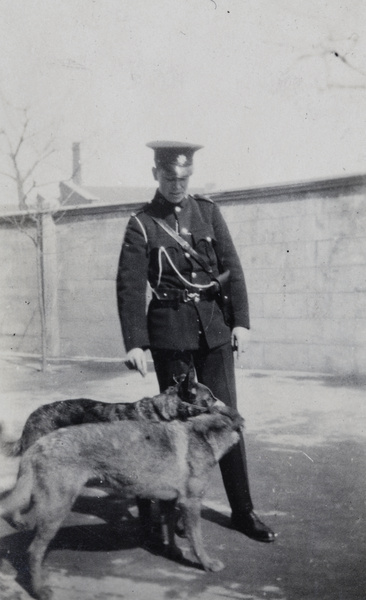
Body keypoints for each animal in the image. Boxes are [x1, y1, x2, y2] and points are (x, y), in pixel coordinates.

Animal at [0, 408, 246, 600]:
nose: (242, 423)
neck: (203, 434)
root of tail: (38, 445)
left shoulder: (169, 502)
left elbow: (169, 529)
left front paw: (173, 550)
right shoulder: (191, 503)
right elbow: (198, 541)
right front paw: (206, 563)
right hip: (56, 509)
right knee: (33, 551)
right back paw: (39, 590)